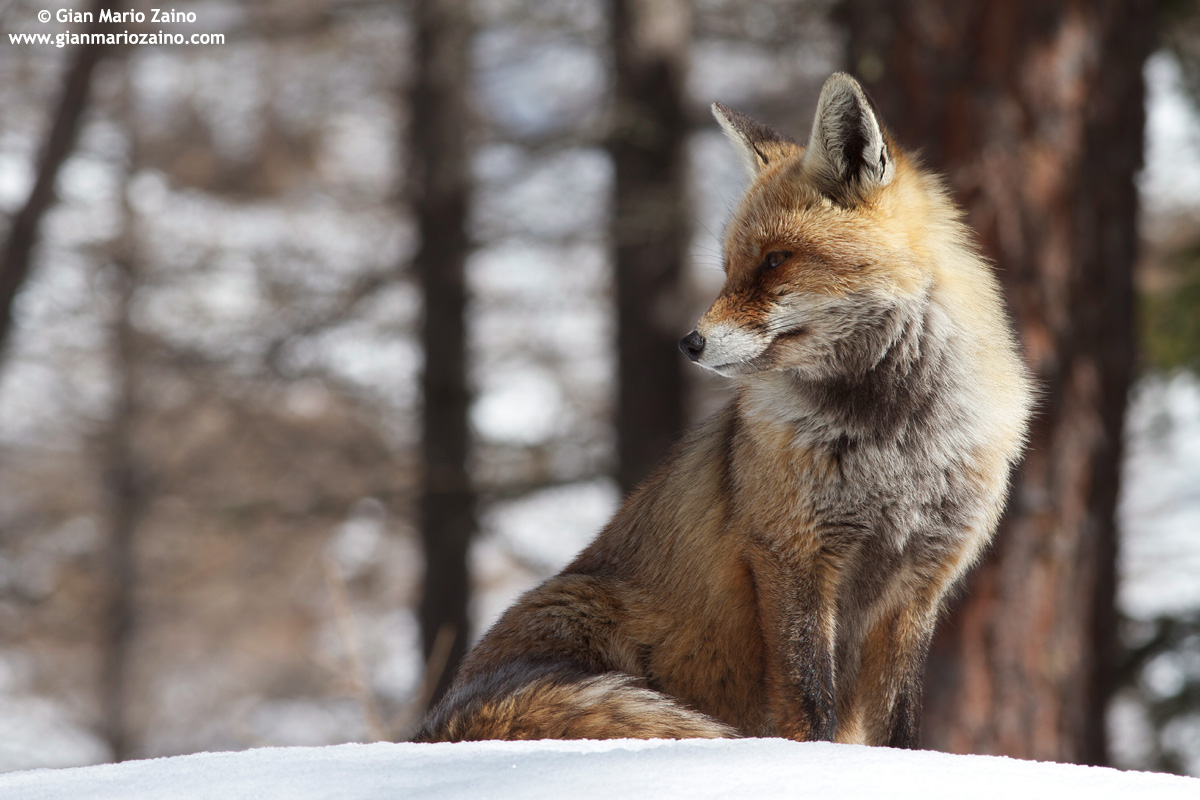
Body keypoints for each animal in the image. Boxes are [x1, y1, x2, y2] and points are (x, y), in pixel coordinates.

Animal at [415, 72, 1034, 747]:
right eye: (730, 265)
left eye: (775, 260)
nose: (689, 343)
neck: (893, 441)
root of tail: (436, 723)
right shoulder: (789, 555)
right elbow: (809, 706)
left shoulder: (922, 579)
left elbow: (898, 728)